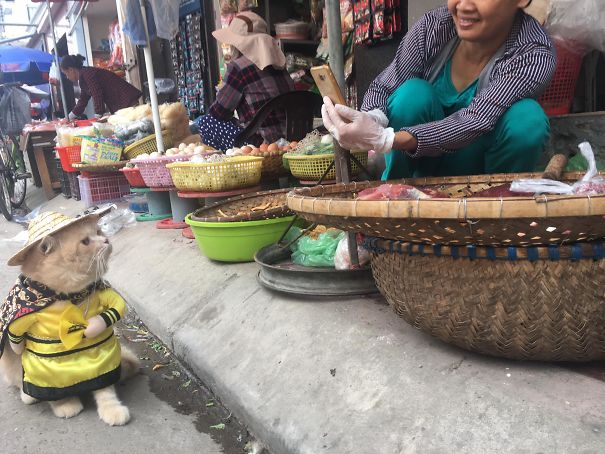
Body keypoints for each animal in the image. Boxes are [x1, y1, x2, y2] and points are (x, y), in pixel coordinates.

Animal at [0, 214, 140, 426]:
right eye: (85, 242)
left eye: (98, 232)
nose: (106, 240)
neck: (69, 296)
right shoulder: (43, 365)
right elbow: (54, 392)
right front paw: (65, 405)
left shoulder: (100, 352)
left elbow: (105, 388)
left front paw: (111, 409)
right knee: (19, 381)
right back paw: (28, 396)